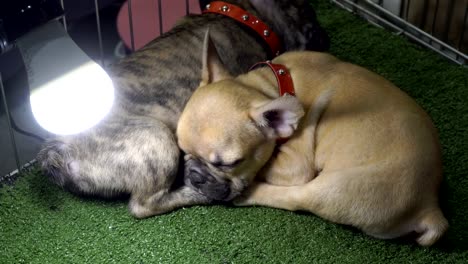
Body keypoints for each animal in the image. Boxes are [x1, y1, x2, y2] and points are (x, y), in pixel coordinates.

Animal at [36, 0, 330, 219]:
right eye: (309, 15)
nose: (323, 35)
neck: (242, 13)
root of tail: (58, 148)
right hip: (156, 138)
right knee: (145, 205)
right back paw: (194, 195)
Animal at [177, 36, 448, 246]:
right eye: (182, 151)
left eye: (229, 164)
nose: (195, 176)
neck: (270, 86)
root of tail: (429, 205)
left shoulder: (293, 165)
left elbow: (265, 168)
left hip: (333, 190)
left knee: (294, 198)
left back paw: (248, 195)